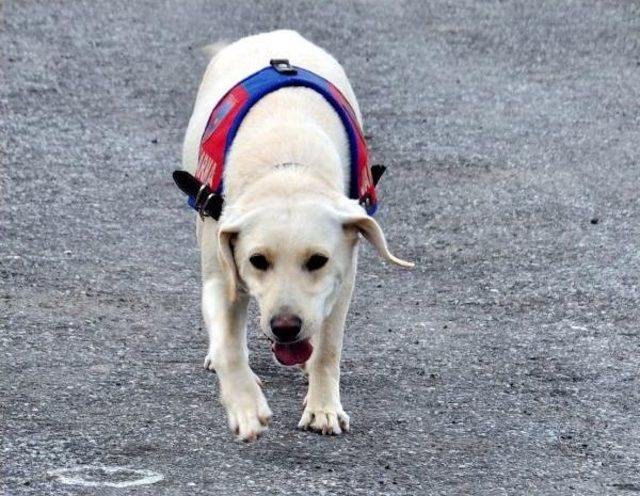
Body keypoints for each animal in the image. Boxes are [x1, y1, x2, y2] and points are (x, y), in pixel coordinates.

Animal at [178, 30, 412, 442]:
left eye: (318, 260)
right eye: (257, 260)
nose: (285, 327)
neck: (287, 170)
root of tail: (274, 35)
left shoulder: (343, 279)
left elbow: (329, 349)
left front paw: (323, 408)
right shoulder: (222, 274)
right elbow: (229, 347)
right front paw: (246, 406)